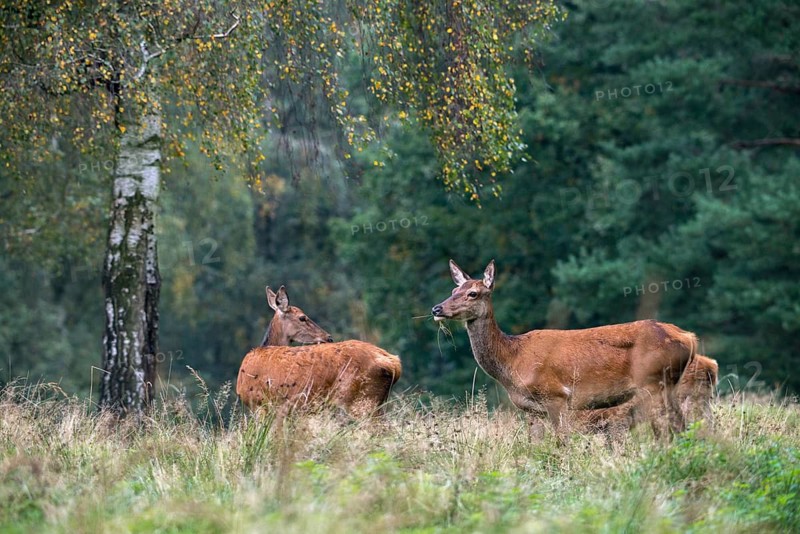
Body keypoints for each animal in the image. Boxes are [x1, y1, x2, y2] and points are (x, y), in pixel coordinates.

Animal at [431, 260, 697, 439]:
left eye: (473, 293)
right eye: (453, 290)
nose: (436, 308)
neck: (512, 361)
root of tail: (688, 337)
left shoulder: (556, 396)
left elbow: (562, 443)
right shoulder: (531, 410)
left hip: (653, 382)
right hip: (668, 384)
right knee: (682, 426)